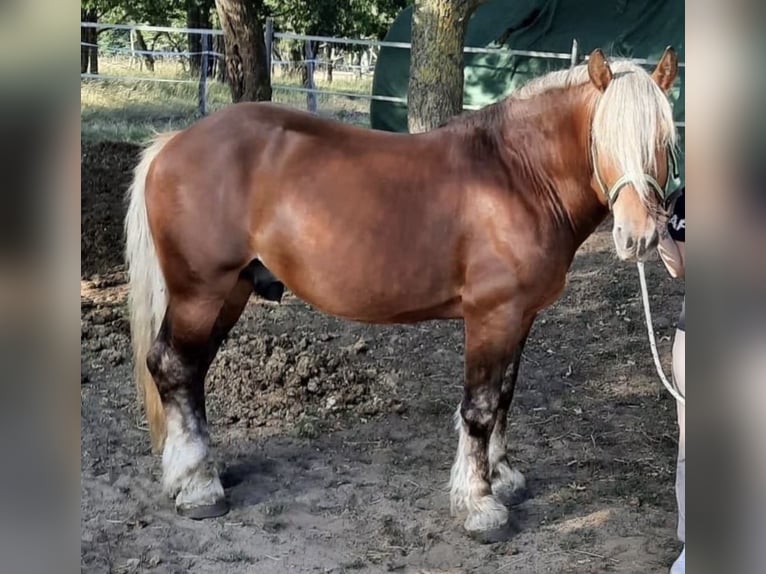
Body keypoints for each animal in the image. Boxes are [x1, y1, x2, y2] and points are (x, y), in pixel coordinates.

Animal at [127, 47, 684, 544]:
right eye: (604, 138)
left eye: (663, 140)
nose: (638, 237)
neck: (516, 176)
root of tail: (174, 143)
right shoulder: (491, 315)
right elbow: (480, 407)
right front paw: (479, 506)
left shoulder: (521, 317)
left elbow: (504, 396)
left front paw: (502, 479)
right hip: (202, 291)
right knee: (174, 367)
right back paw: (199, 488)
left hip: (230, 292)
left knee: (189, 371)